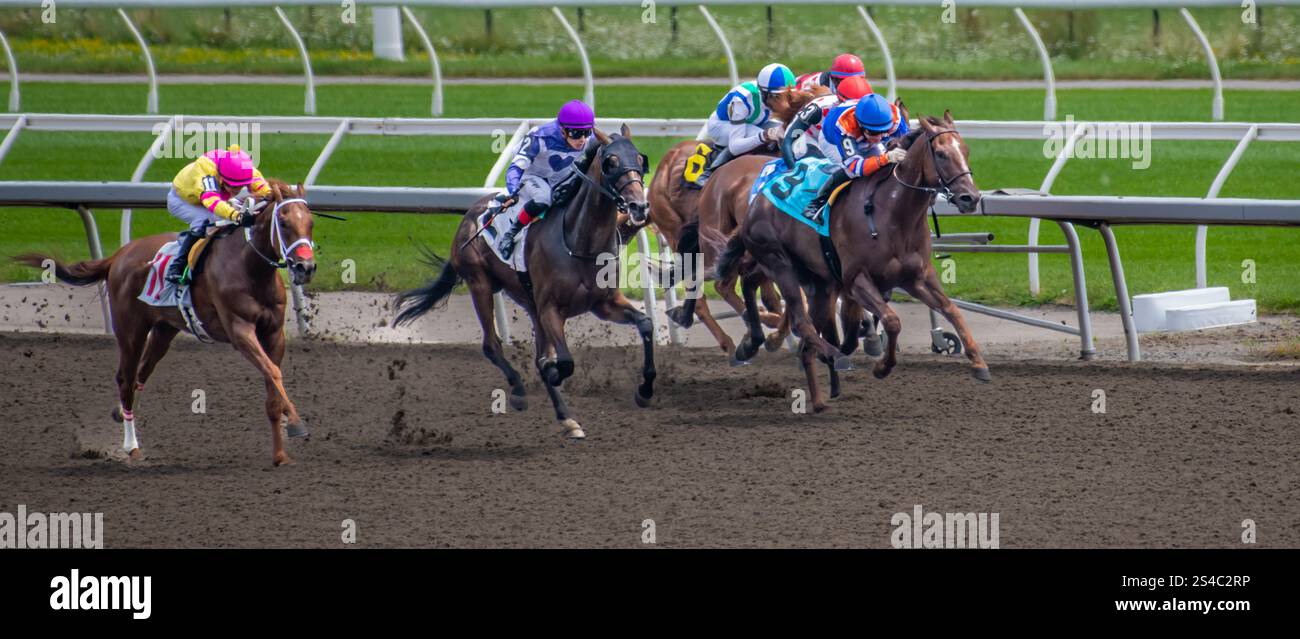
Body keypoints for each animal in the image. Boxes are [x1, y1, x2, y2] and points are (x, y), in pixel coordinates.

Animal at [17, 179, 319, 464]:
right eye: (283, 222)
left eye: (311, 222)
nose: (305, 267)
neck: (249, 268)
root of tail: (120, 255)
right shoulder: (240, 330)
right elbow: (274, 372)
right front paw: (296, 424)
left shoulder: (274, 333)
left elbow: (272, 383)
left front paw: (280, 454)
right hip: (130, 329)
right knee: (126, 379)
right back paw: (131, 447)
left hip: (164, 328)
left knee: (141, 374)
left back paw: (121, 413)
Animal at [384, 124, 650, 438]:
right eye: (611, 162)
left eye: (640, 159)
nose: (639, 206)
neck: (580, 242)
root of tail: (471, 214)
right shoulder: (551, 309)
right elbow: (563, 362)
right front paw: (551, 374)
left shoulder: (604, 303)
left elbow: (645, 324)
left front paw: (645, 391)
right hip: (480, 283)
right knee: (491, 345)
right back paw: (521, 391)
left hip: (528, 300)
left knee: (535, 354)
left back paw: (567, 418)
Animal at [722, 111, 982, 413]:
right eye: (941, 154)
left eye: (966, 150)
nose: (970, 198)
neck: (892, 214)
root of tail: (757, 199)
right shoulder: (856, 281)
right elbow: (892, 321)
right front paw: (881, 367)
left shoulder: (917, 278)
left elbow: (952, 310)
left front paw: (978, 362)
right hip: (779, 263)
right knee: (799, 321)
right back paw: (817, 355)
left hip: (817, 282)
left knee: (783, 313)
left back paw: (816, 396)